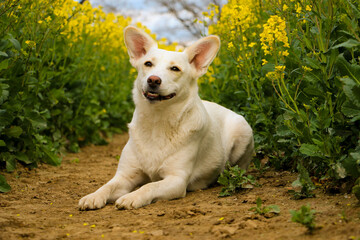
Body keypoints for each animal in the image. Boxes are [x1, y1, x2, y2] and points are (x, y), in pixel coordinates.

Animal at [79, 26, 253, 210]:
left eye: (175, 68)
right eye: (148, 64)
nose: (153, 80)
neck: (157, 122)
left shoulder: (176, 180)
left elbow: (149, 186)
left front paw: (132, 197)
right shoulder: (125, 176)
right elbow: (107, 185)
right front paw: (93, 196)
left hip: (243, 132)